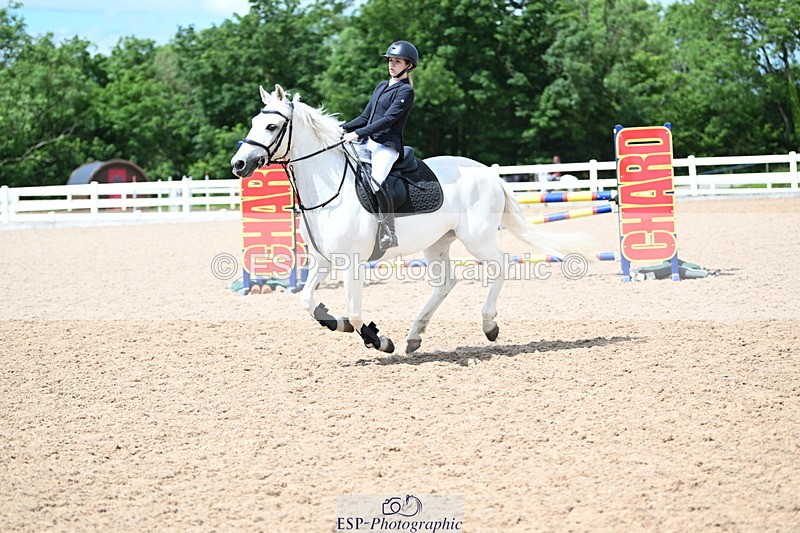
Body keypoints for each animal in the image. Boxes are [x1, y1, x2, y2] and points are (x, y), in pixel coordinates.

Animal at [231, 84, 591, 354]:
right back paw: (415, 335)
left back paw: (489, 325)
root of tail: (490, 173)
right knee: (446, 282)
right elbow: (307, 300)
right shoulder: (324, 260)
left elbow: (356, 312)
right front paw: (333, 321)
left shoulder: (351, 261)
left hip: (478, 237)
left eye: (272, 126)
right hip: (437, 243)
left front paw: (378, 339)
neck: (329, 187)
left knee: (501, 264)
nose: (239, 164)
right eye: (254, 122)